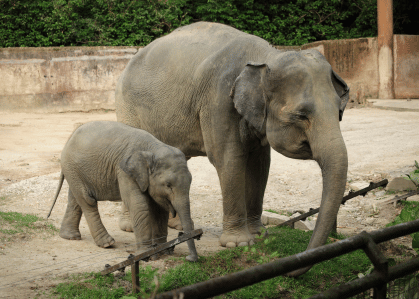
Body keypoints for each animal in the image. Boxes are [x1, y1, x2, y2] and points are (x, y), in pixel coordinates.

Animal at [48, 120, 199, 262]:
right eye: (168, 185)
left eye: (191, 181)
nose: (189, 258)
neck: (153, 147)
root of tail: (69, 138)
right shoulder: (125, 172)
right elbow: (139, 205)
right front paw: (146, 255)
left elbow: (160, 210)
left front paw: (162, 251)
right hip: (72, 167)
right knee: (87, 201)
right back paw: (107, 243)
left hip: (75, 170)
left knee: (75, 199)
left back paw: (70, 237)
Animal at [116, 21, 350, 276]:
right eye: (301, 115)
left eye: (340, 111)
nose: (288, 268)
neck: (267, 56)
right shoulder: (218, 100)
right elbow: (229, 160)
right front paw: (238, 244)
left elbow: (260, 165)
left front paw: (259, 234)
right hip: (127, 107)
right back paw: (129, 227)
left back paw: (177, 226)